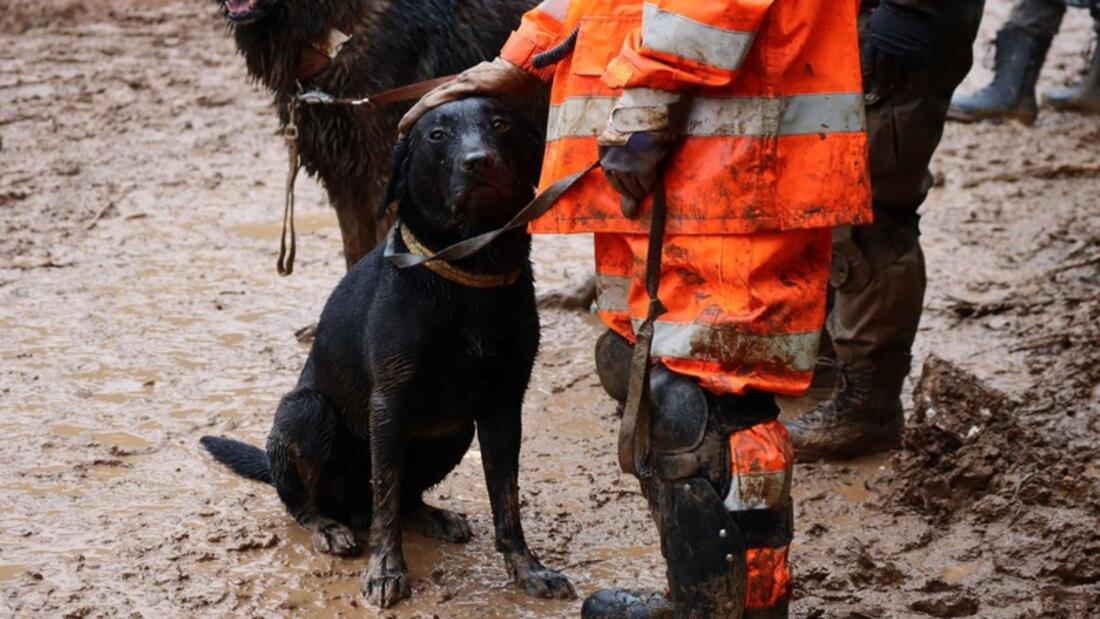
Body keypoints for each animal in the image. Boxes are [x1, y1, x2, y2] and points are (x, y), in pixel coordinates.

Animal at [200, 99, 576, 606]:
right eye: (436, 135)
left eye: (501, 124)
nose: (479, 161)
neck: (469, 269)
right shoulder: (388, 404)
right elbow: (386, 502)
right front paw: (385, 571)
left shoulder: (503, 405)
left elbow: (506, 500)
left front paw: (527, 569)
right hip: (306, 412)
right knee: (311, 504)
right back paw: (328, 527)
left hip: (456, 430)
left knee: (404, 497)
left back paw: (432, 515)